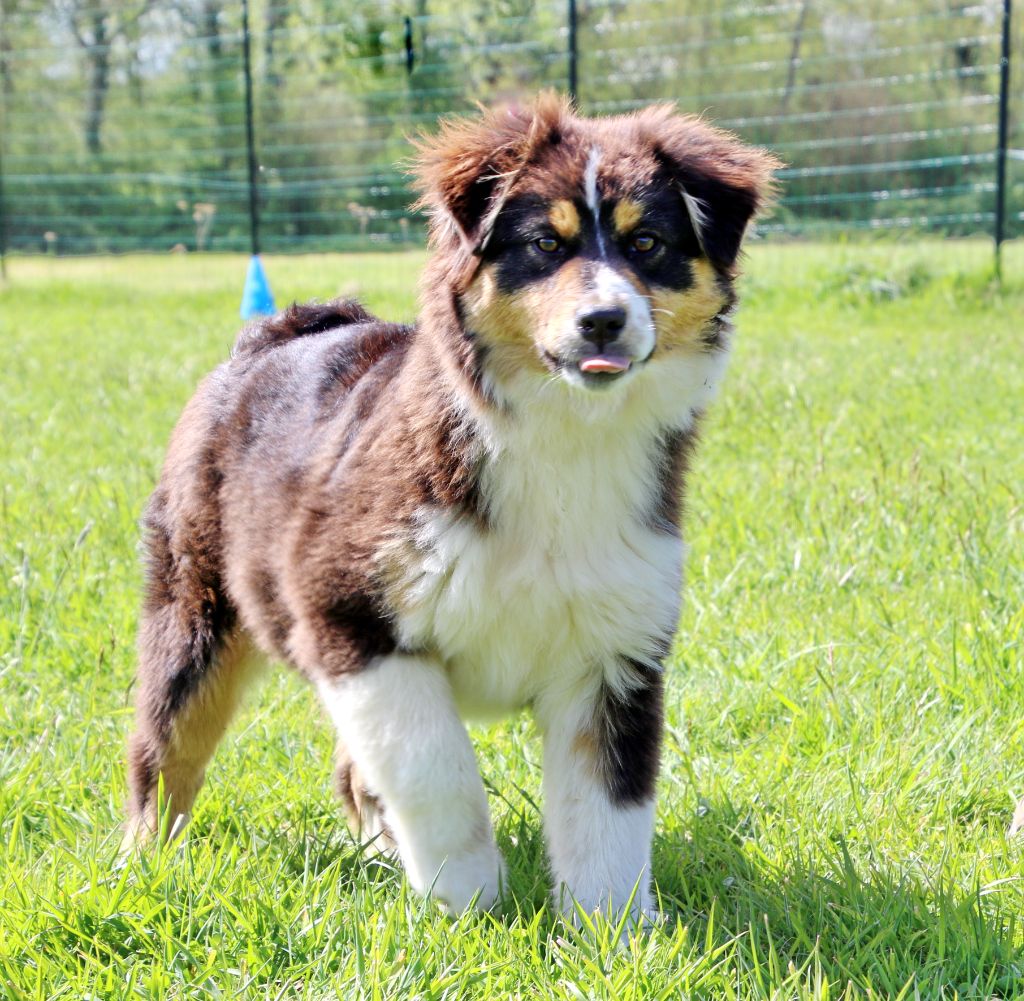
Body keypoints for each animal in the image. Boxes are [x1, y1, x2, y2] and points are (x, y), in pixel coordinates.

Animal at [125, 93, 779, 920]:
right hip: (194, 606)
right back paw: (140, 866)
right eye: (544, 243)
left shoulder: (615, 652)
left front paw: (612, 931)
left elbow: (609, 814)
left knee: (350, 768)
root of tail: (276, 330)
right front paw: (469, 906)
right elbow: (439, 773)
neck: (563, 438)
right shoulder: (350, 614)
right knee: (166, 748)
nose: (603, 320)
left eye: (648, 242)